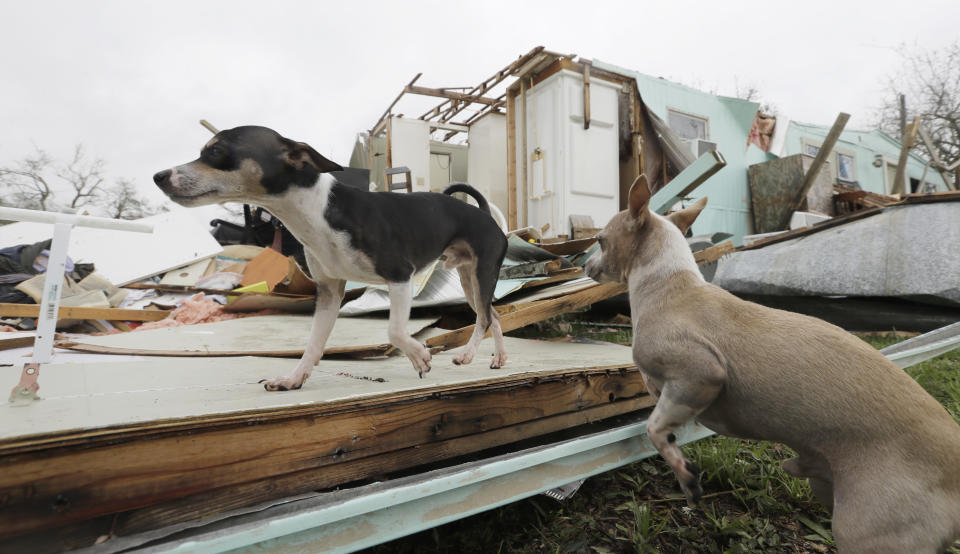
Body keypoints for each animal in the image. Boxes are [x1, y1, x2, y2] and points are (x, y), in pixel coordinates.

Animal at [153, 125, 506, 388]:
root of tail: (485, 214)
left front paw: (420, 356)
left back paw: (467, 355)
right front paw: (294, 378)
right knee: (492, 314)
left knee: (485, 317)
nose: (158, 176)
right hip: (470, 280)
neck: (317, 211)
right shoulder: (329, 292)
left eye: (215, 151)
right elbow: (313, 343)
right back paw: (498, 359)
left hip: (481, 274)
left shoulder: (400, 276)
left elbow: (394, 330)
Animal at [580, 175, 960, 548]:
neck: (668, 283)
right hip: (828, 487)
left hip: (865, 528)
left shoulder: (699, 374)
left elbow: (655, 429)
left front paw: (686, 476)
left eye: (599, 240)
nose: (584, 265)